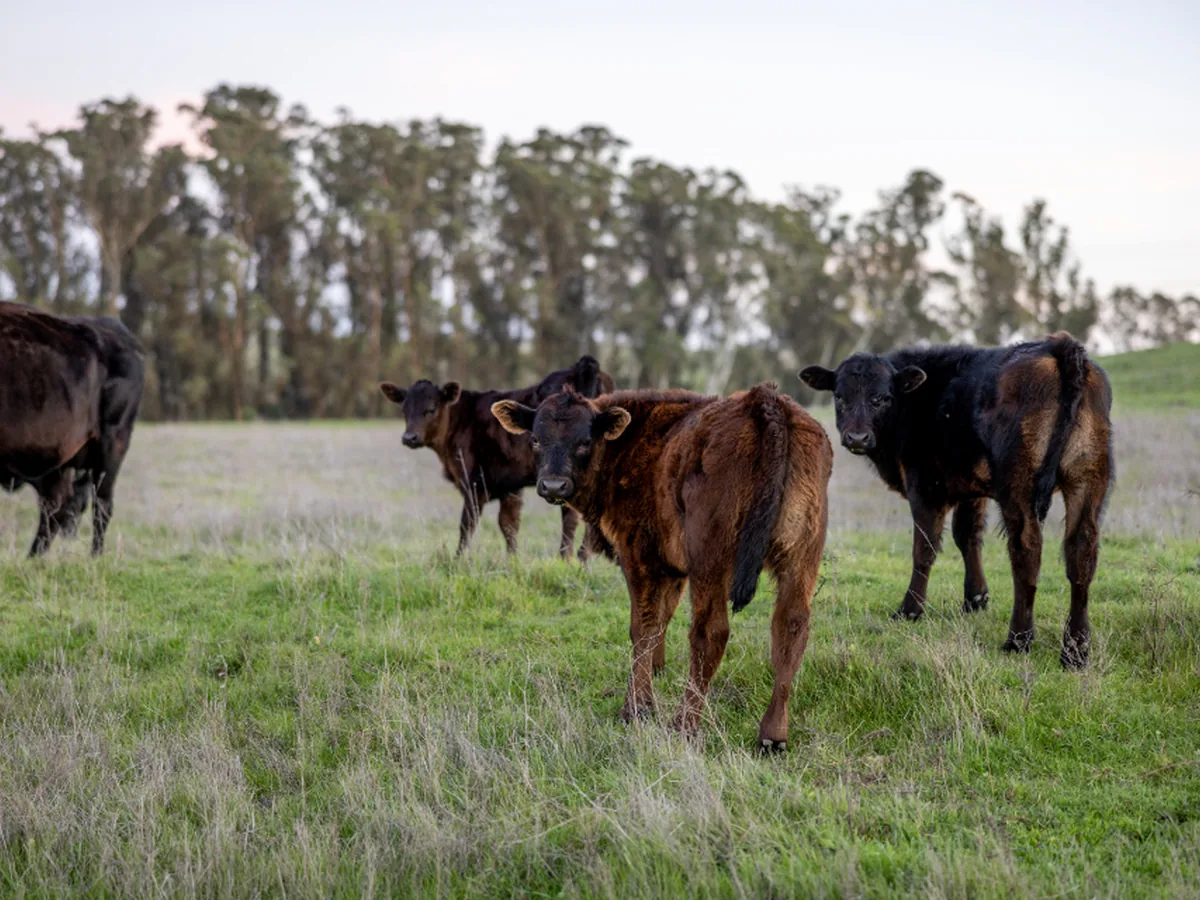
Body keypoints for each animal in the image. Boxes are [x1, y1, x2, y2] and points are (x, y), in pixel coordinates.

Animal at [0, 301, 145, 557]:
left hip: (112, 445)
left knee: (101, 506)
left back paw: (94, 557)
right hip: (61, 460)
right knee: (56, 508)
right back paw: (33, 558)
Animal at [379, 355, 616, 560]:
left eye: (431, 409)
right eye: (404, 410)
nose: (409, 437)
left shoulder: (474, 483)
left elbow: (467, 525)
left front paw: (458, 560)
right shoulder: (510, 485)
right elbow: (509, 525)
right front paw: (513, 561)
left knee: (572, 517)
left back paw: (570, 559)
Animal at [492, 383, 833, 751]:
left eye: (584, 441)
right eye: (535, 439)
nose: (553, 485)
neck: (627, 442)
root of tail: (765, 402)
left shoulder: (639, 555)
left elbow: (643, 627)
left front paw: (636, 708)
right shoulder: (673, 569)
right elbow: (662, 620)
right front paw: (654, 674)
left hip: (710, 560)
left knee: (710, 632)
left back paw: (684, 726)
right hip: (800, 558)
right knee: (791, 628)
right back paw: (772, 735)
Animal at [800, 331, 1113, 668]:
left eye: (882, 397)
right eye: (839, 396)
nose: (857, 437)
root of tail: (1058, 345)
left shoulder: (925, 487)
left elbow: (924, 550)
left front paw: (910, 610)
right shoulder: (970, 488)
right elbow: (968, 536)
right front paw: (975, 599)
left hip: (1019, 486)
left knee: (1026, 550)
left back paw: (1018, 640)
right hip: (1087, 479)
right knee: (1081, 553)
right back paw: (1075, 651)